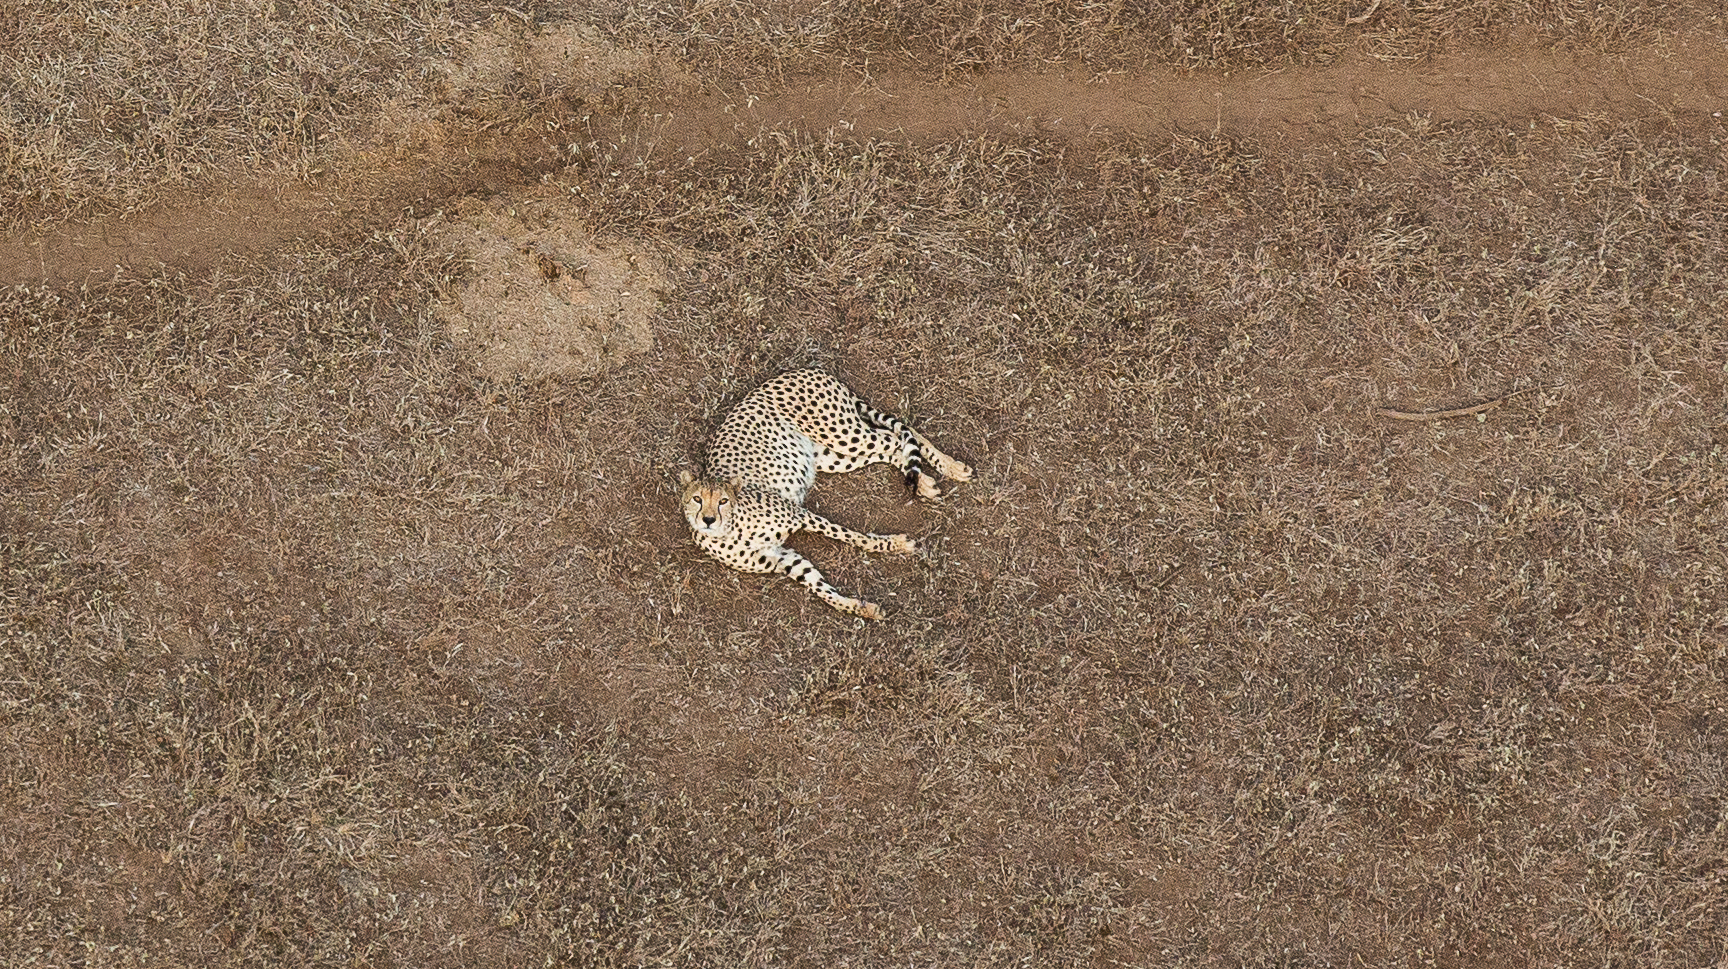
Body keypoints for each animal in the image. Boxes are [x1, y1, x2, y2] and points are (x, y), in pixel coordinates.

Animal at [678, 369, 974, 619]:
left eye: (723, 501)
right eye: (697, 499)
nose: (708, 519)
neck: (729, 529)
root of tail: (806, 370)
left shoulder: (800, 515)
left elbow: (853, 536)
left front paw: (894, 545)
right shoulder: (782, 559)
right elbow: (818, 586)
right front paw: (861, 608)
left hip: (844, 434)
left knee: (897, 436)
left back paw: (949, 468)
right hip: (831, 455)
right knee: (891, 448)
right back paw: (925, 481)